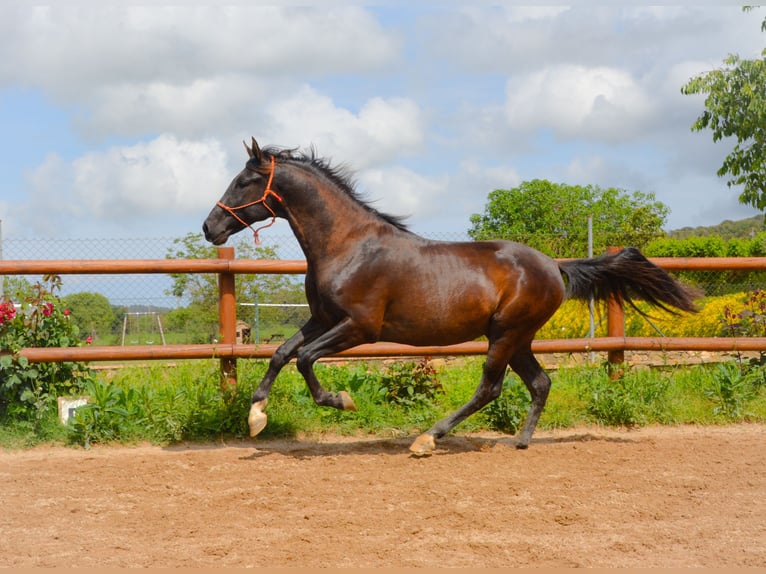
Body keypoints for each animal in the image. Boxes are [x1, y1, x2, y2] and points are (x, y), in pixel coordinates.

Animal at [202, 137, 697, 455]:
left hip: (505, 333)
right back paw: (520, 441)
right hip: (517, 337)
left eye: (244, 181)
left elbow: (304, 360)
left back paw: (427, 439)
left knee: (490, 387)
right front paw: (256, 417)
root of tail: (554, 266)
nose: (210, 227)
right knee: (539, 382)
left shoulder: (359, 327)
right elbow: (281, 353)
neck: (349, 246)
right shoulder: (322, 319)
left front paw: (341, 401)